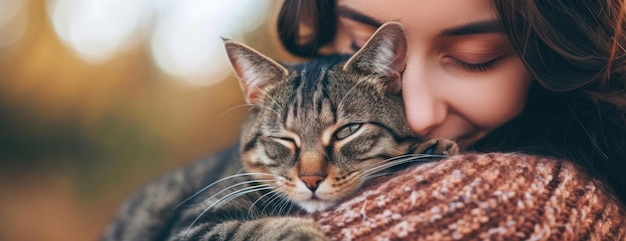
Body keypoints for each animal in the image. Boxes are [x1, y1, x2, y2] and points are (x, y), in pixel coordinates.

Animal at [100, 21, 456, 241]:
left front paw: (429, 148)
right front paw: (302, 232)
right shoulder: (191, 225)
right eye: (283, 139)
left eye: (347, 131)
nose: (311, 180)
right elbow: (249, 230)